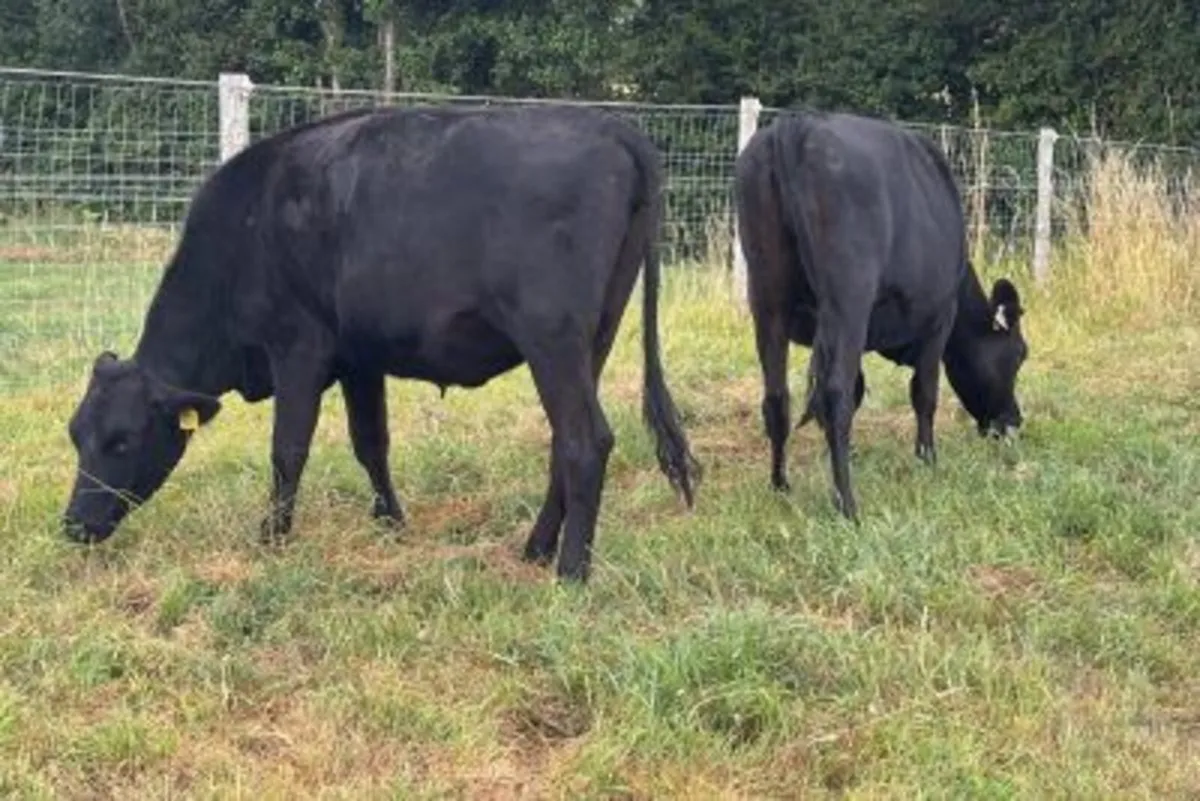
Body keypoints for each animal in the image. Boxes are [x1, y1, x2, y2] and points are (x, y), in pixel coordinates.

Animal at [62, 103, 701, 583]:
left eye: (121, 440)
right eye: (76, 436)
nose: (72, 525)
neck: (245, 233)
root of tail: (611, 126)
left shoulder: (297, 348)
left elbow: (287, 449)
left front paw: (272, 537)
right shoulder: (359, 360)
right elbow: (371, 443)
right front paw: (391, 523)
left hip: (553, 338)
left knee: (585, 441)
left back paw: (570, 572)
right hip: (595, 336)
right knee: (562, 444)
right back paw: (536, 548)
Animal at [734, 110, 1028, 520]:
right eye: (1018, 356)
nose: (1014, 421)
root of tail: (798, 124)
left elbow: (857, 391)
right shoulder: (939, 318)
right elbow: (924, 392)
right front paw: (927, 460)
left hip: (767, 301)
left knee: (777, 398)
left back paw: (780, 486)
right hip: (848, 300)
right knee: (835, 394)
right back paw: (847, 505)